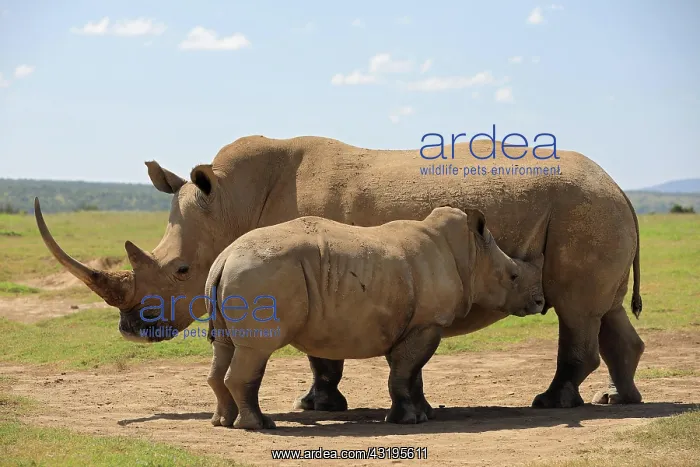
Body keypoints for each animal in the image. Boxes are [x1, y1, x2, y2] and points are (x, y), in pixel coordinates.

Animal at [204, 206, 545, 429]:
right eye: (513, 276)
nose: (540, 301)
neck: (471, 254)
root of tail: (225, 257)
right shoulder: (427, 323)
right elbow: (404, 373)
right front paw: (408, 420)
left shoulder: (416, 324)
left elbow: (411, 373)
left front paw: (424, 414)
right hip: (261, 275)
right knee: (256, 349)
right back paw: (258, 425)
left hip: (238, 274)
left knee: (224, 347)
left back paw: (223, 422)